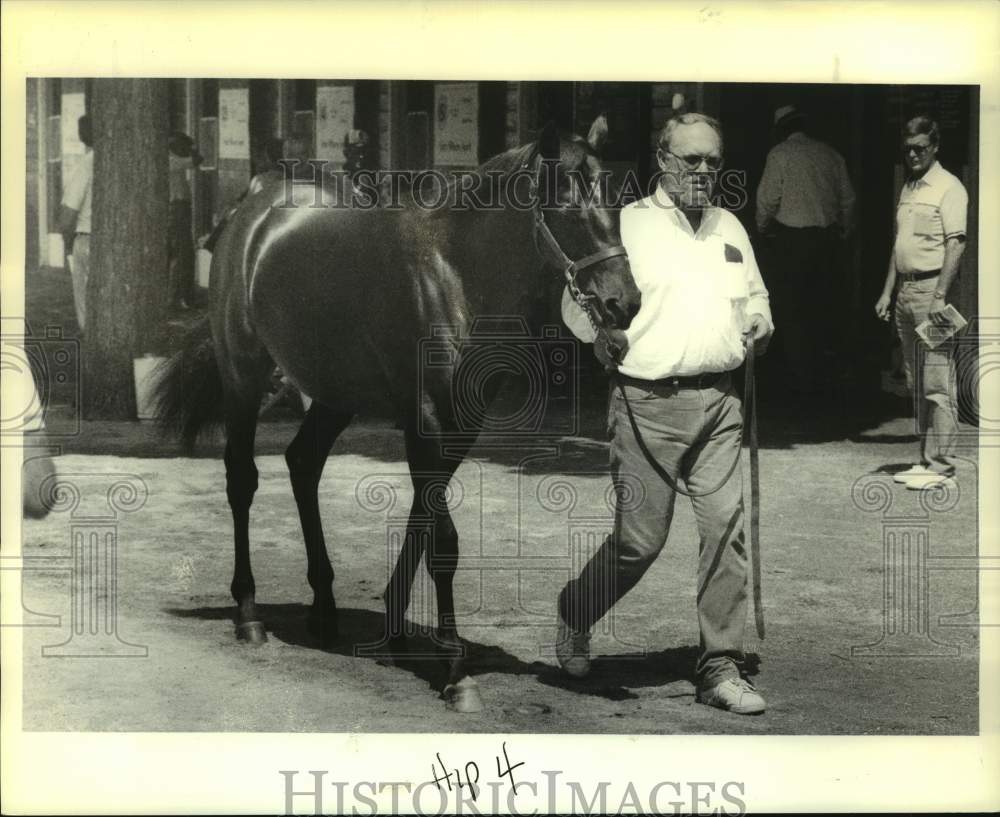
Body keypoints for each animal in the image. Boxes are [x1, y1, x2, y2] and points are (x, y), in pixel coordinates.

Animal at [156, 118, 640, 712]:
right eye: (568, 207)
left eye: (615, 202)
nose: (625, 303)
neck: (454, 274)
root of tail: (254, 208)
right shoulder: (428, 421)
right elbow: (443, 543)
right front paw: (456, 672)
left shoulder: (457, 424)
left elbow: (421, 524)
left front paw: (393, 634)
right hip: (244, 376)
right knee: (242, 480)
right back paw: (249, 616)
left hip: (336, 395)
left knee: (302, 464)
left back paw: (324, 609)